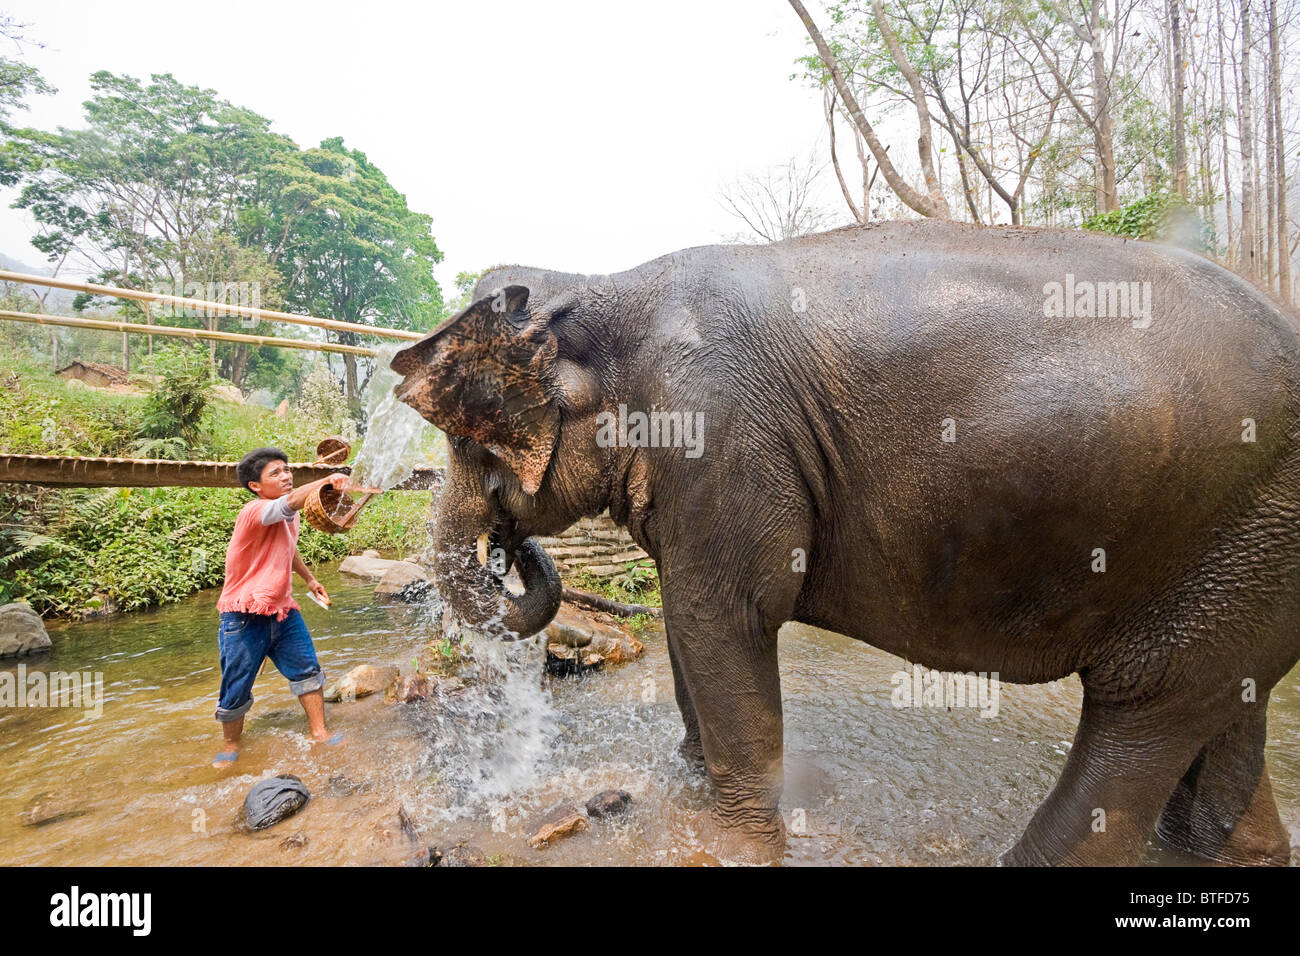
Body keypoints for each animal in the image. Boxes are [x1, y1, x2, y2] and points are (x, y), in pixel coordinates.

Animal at [390, 222, 1300, 868]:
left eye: (469, 443)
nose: (508, 546)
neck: (606, 286)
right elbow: (688, 624)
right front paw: (690, 785)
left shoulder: (724, 440)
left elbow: (722, 617)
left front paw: (731, 848)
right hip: (1242, 561)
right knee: (1221, 704)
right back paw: (1240, 852)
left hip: (1239, 537)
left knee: (1142, 718)